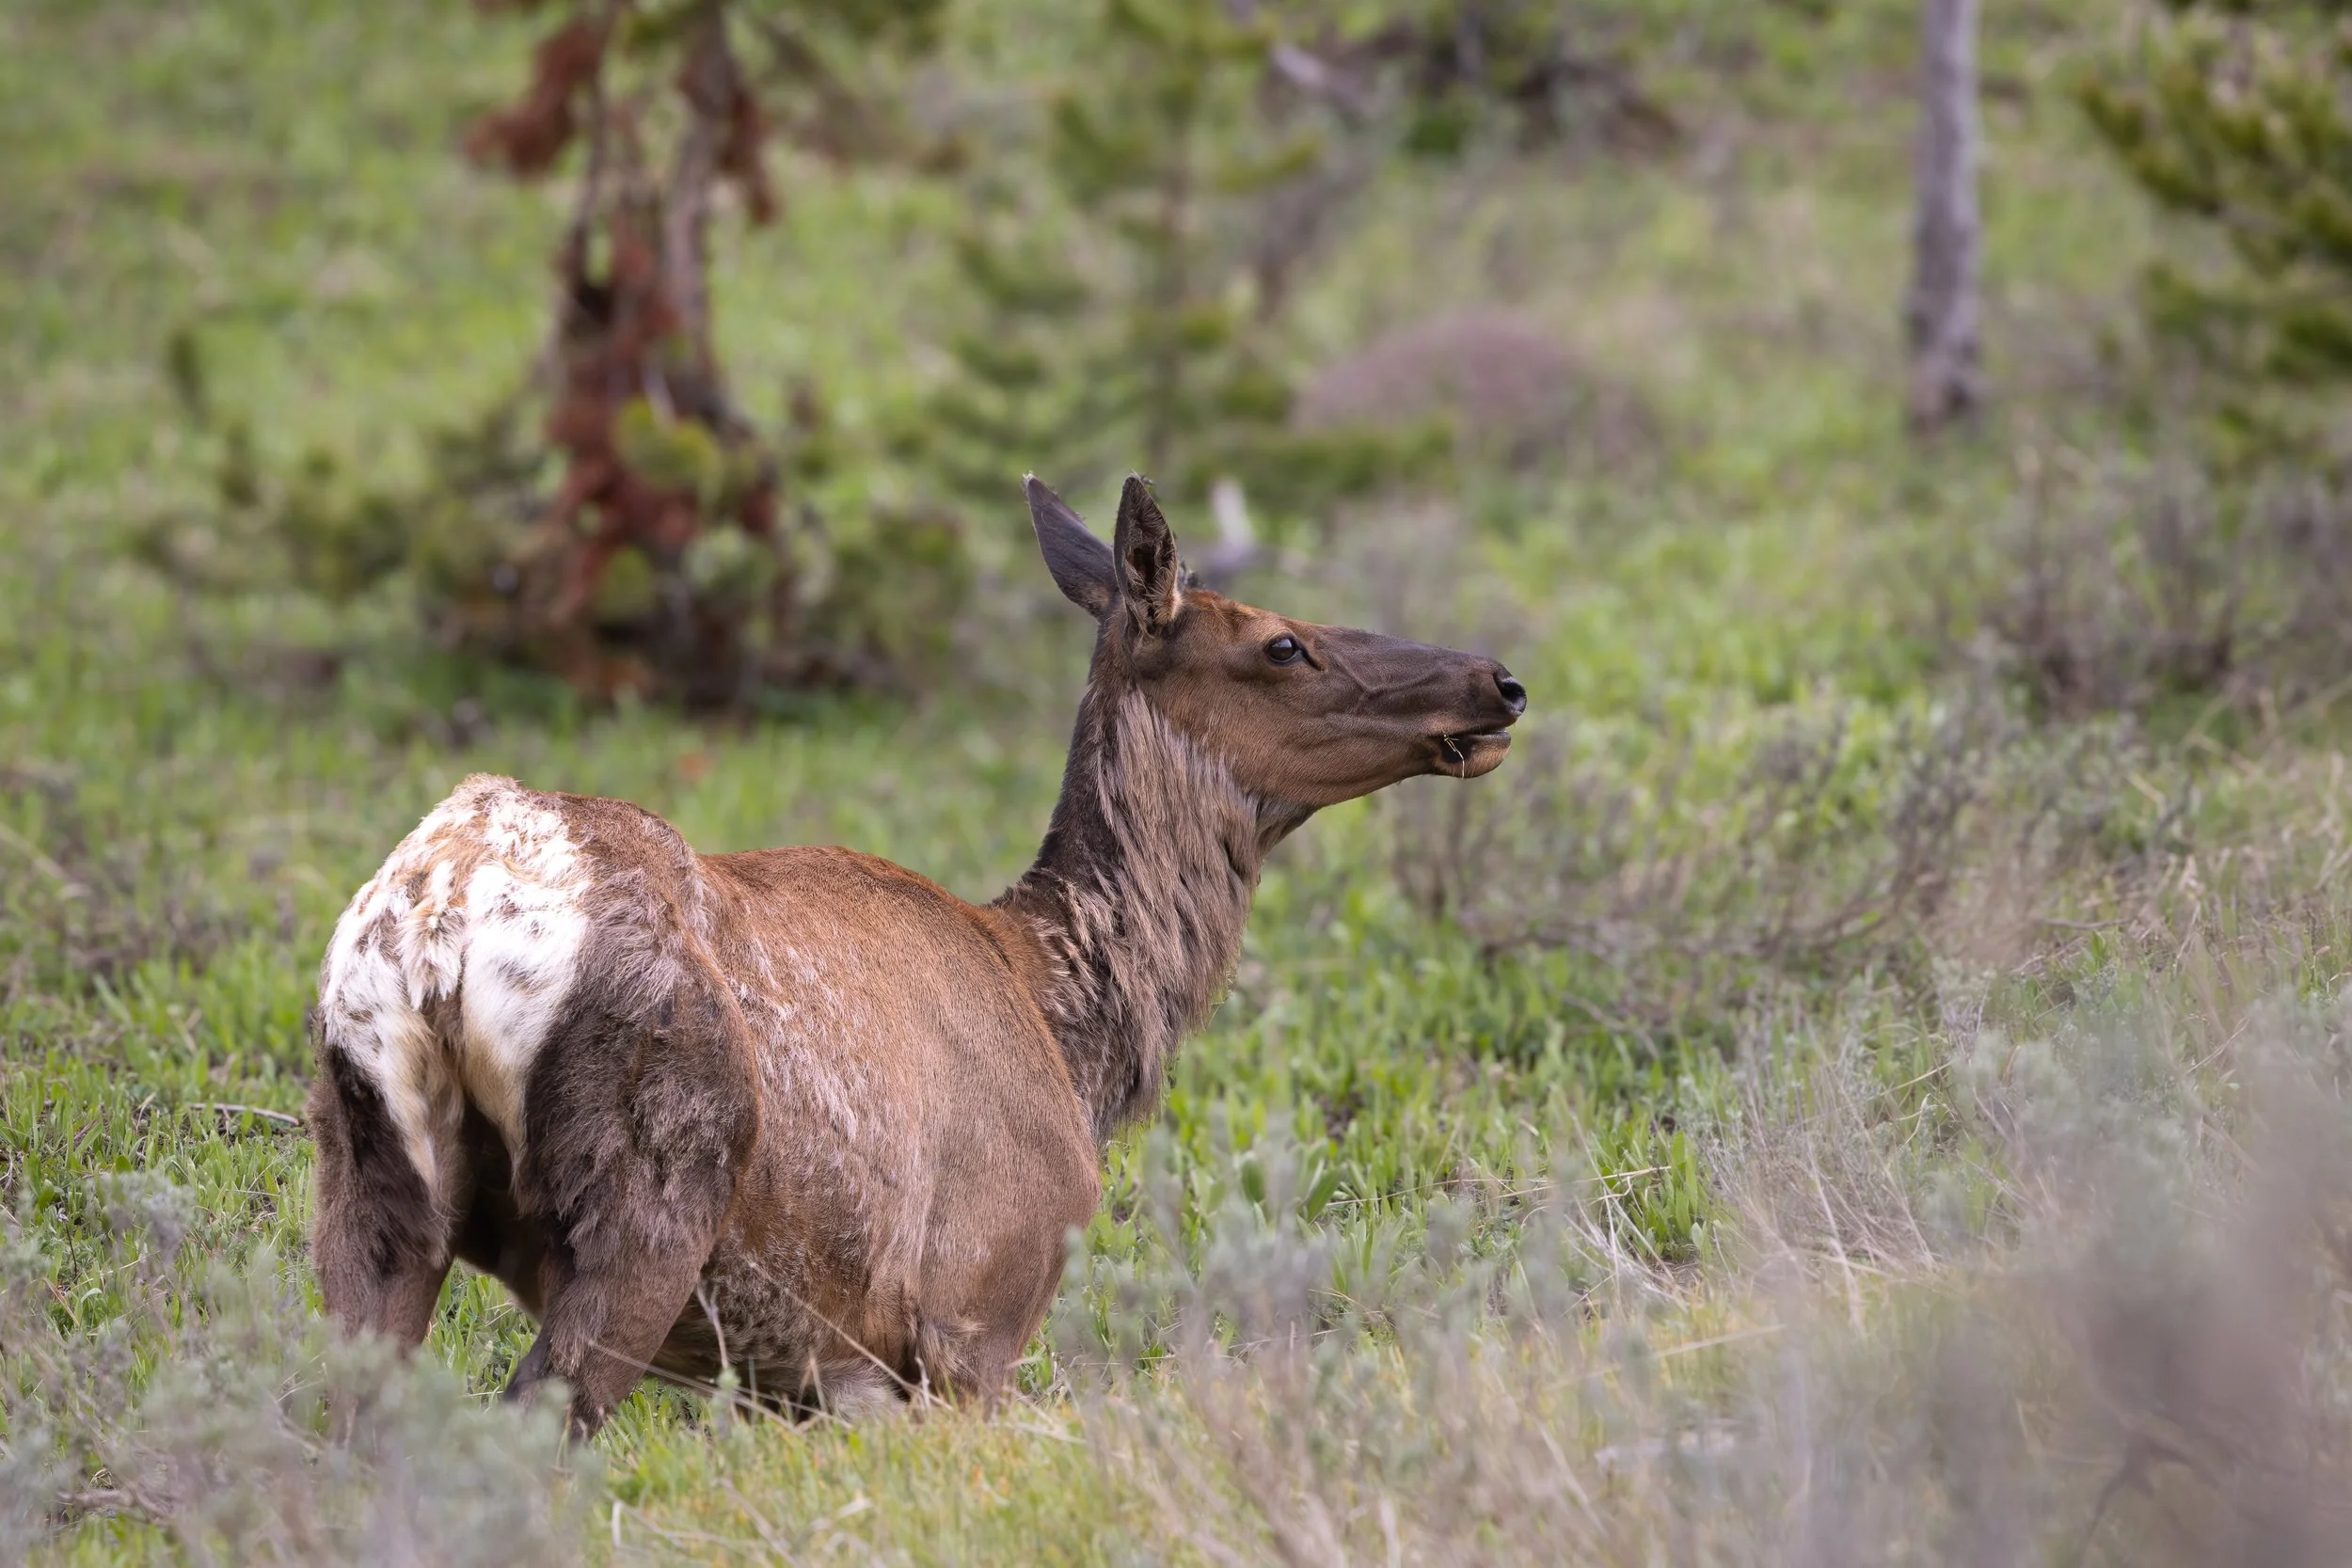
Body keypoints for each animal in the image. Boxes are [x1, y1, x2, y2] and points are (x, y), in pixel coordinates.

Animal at [305, 475, 1526, 1435]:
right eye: (1281, 640)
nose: (1497, 680)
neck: (1066, 1022)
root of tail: (439, 924)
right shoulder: (978, 1301)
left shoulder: (815, 1373)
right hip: (651, 1190)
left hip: (367, 1180)